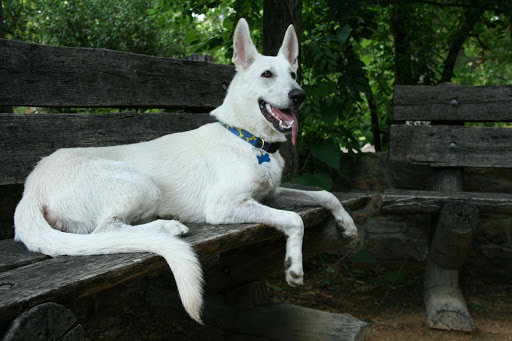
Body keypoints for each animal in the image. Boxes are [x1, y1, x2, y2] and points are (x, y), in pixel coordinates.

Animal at [12, 17, 356, 322]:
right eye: (267, 74)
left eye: (294, 73)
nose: (299, 96)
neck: (248, 138)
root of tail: (31, 188)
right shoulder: (224, 206)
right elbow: (295, 219)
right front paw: (294, 267)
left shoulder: (269, 194)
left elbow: (325, 194)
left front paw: (347, 224)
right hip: (141, 183)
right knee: (106, 231)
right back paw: (168, 226)